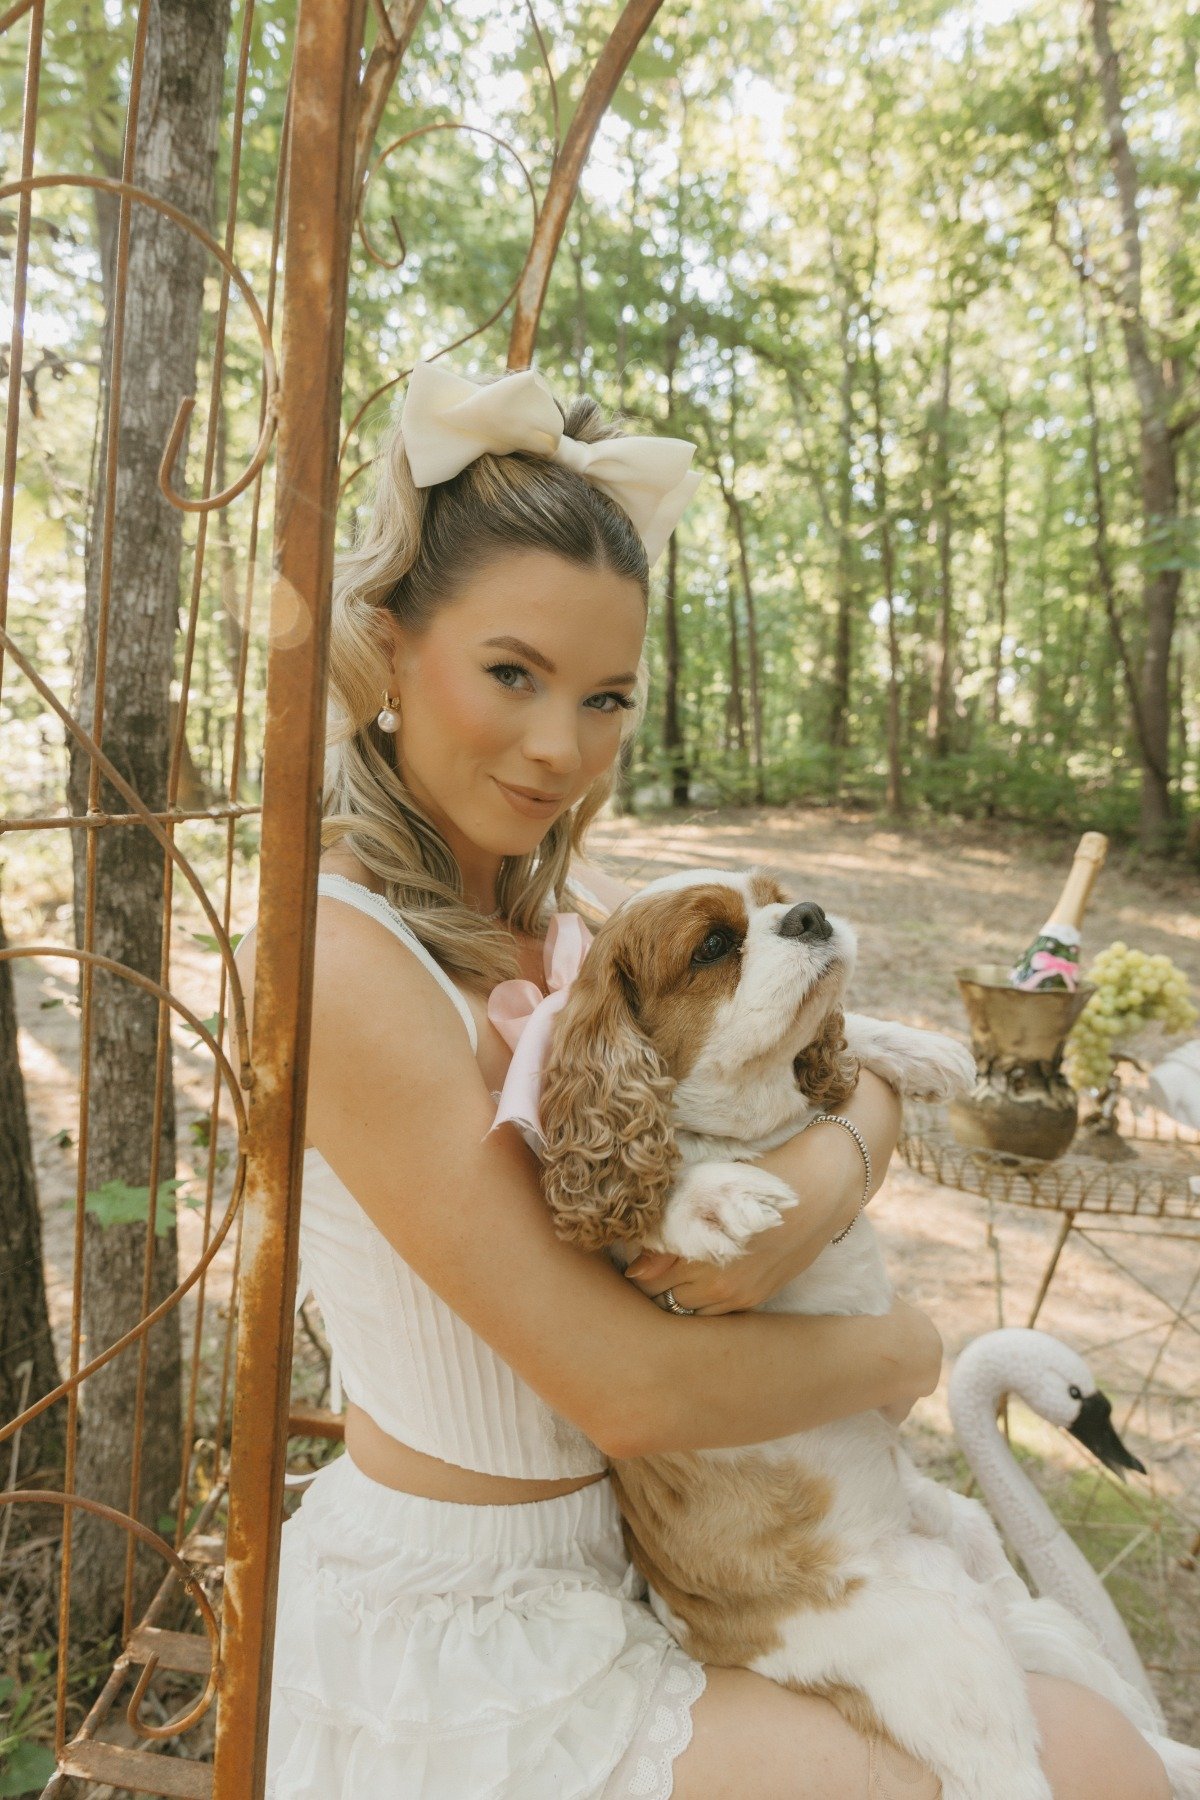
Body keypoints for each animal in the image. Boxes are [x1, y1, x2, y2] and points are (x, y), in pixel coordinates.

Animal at [539, 871, 1194, 1800]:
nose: (808, 915)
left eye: (774, 895)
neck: (756, 1125)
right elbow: (643, 1194)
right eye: (712, 946)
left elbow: (846, 1032)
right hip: (954, 1654)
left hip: (983, 1554)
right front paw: (709, 1196)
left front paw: (914, 1047)